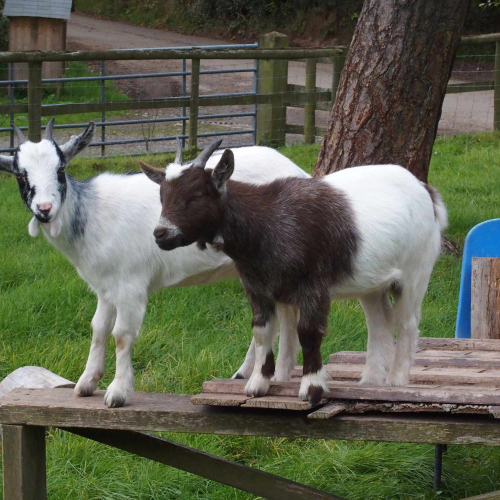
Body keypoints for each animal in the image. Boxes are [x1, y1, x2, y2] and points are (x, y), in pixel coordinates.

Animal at [0, 121, 308, 406]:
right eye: (20, 174)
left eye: (61, 169)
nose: (44, 209)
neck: (92, 215)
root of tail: (300, 173)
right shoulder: (105, 287)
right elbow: (98, 328)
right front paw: (86, 382)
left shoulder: (130, 284)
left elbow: (121, 335)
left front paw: (117, 392)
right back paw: (265, 373)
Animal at [143, 148, 448, 402]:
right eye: (162, 197)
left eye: (196, 195)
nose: (160, 234)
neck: (267, 222)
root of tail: (426, 191)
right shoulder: (258, 287)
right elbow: (262, 330)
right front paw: (258, 384)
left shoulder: (314, 285)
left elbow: (308, 331)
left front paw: (312, 388)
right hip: (372, 284)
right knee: (379, 322)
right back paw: (370, 381)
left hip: (415, 271)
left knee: (407, 322)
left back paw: (396, 381)